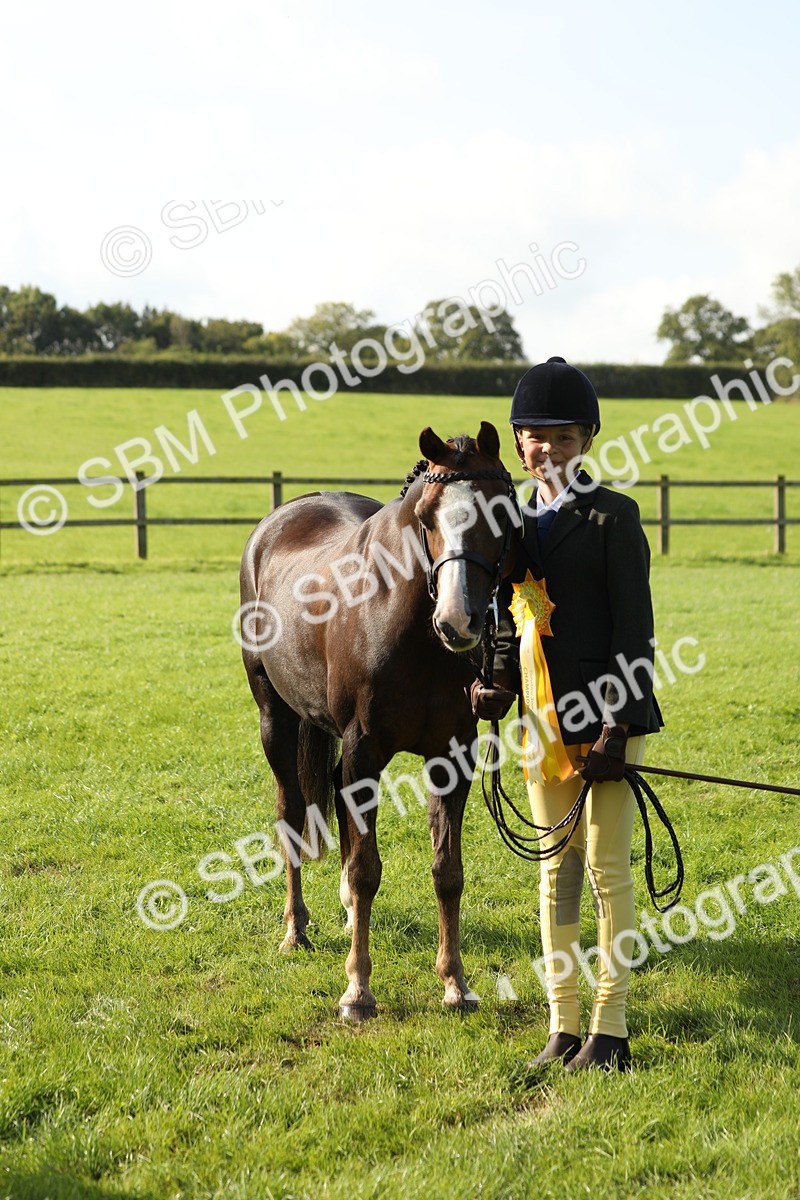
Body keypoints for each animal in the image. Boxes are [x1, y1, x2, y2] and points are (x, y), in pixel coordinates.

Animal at [239, 421, 518, 1019]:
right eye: (428, 517)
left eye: (501, 512)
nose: (458, 621)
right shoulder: (364, 750)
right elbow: (369, 870)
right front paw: (358, 991)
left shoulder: (451, 757)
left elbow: (447, 873)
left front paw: (455, 984)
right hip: (276, 719)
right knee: (290, 814)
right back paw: (296, 930)